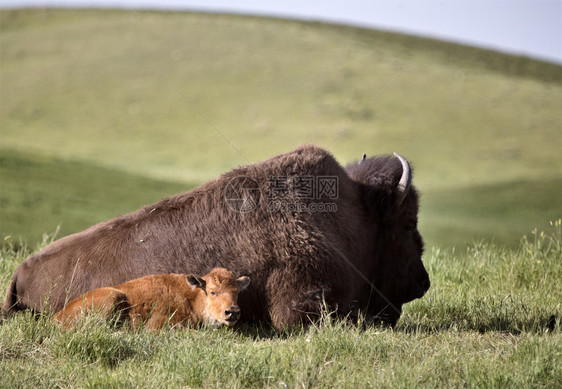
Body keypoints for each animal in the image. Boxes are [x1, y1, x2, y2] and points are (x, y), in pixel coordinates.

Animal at [53, 268, 249, 328]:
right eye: (213, 292)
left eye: (237, 292)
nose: (232, 312)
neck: (193, 297)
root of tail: (55, 317)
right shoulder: (158, 326)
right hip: (112, 296)